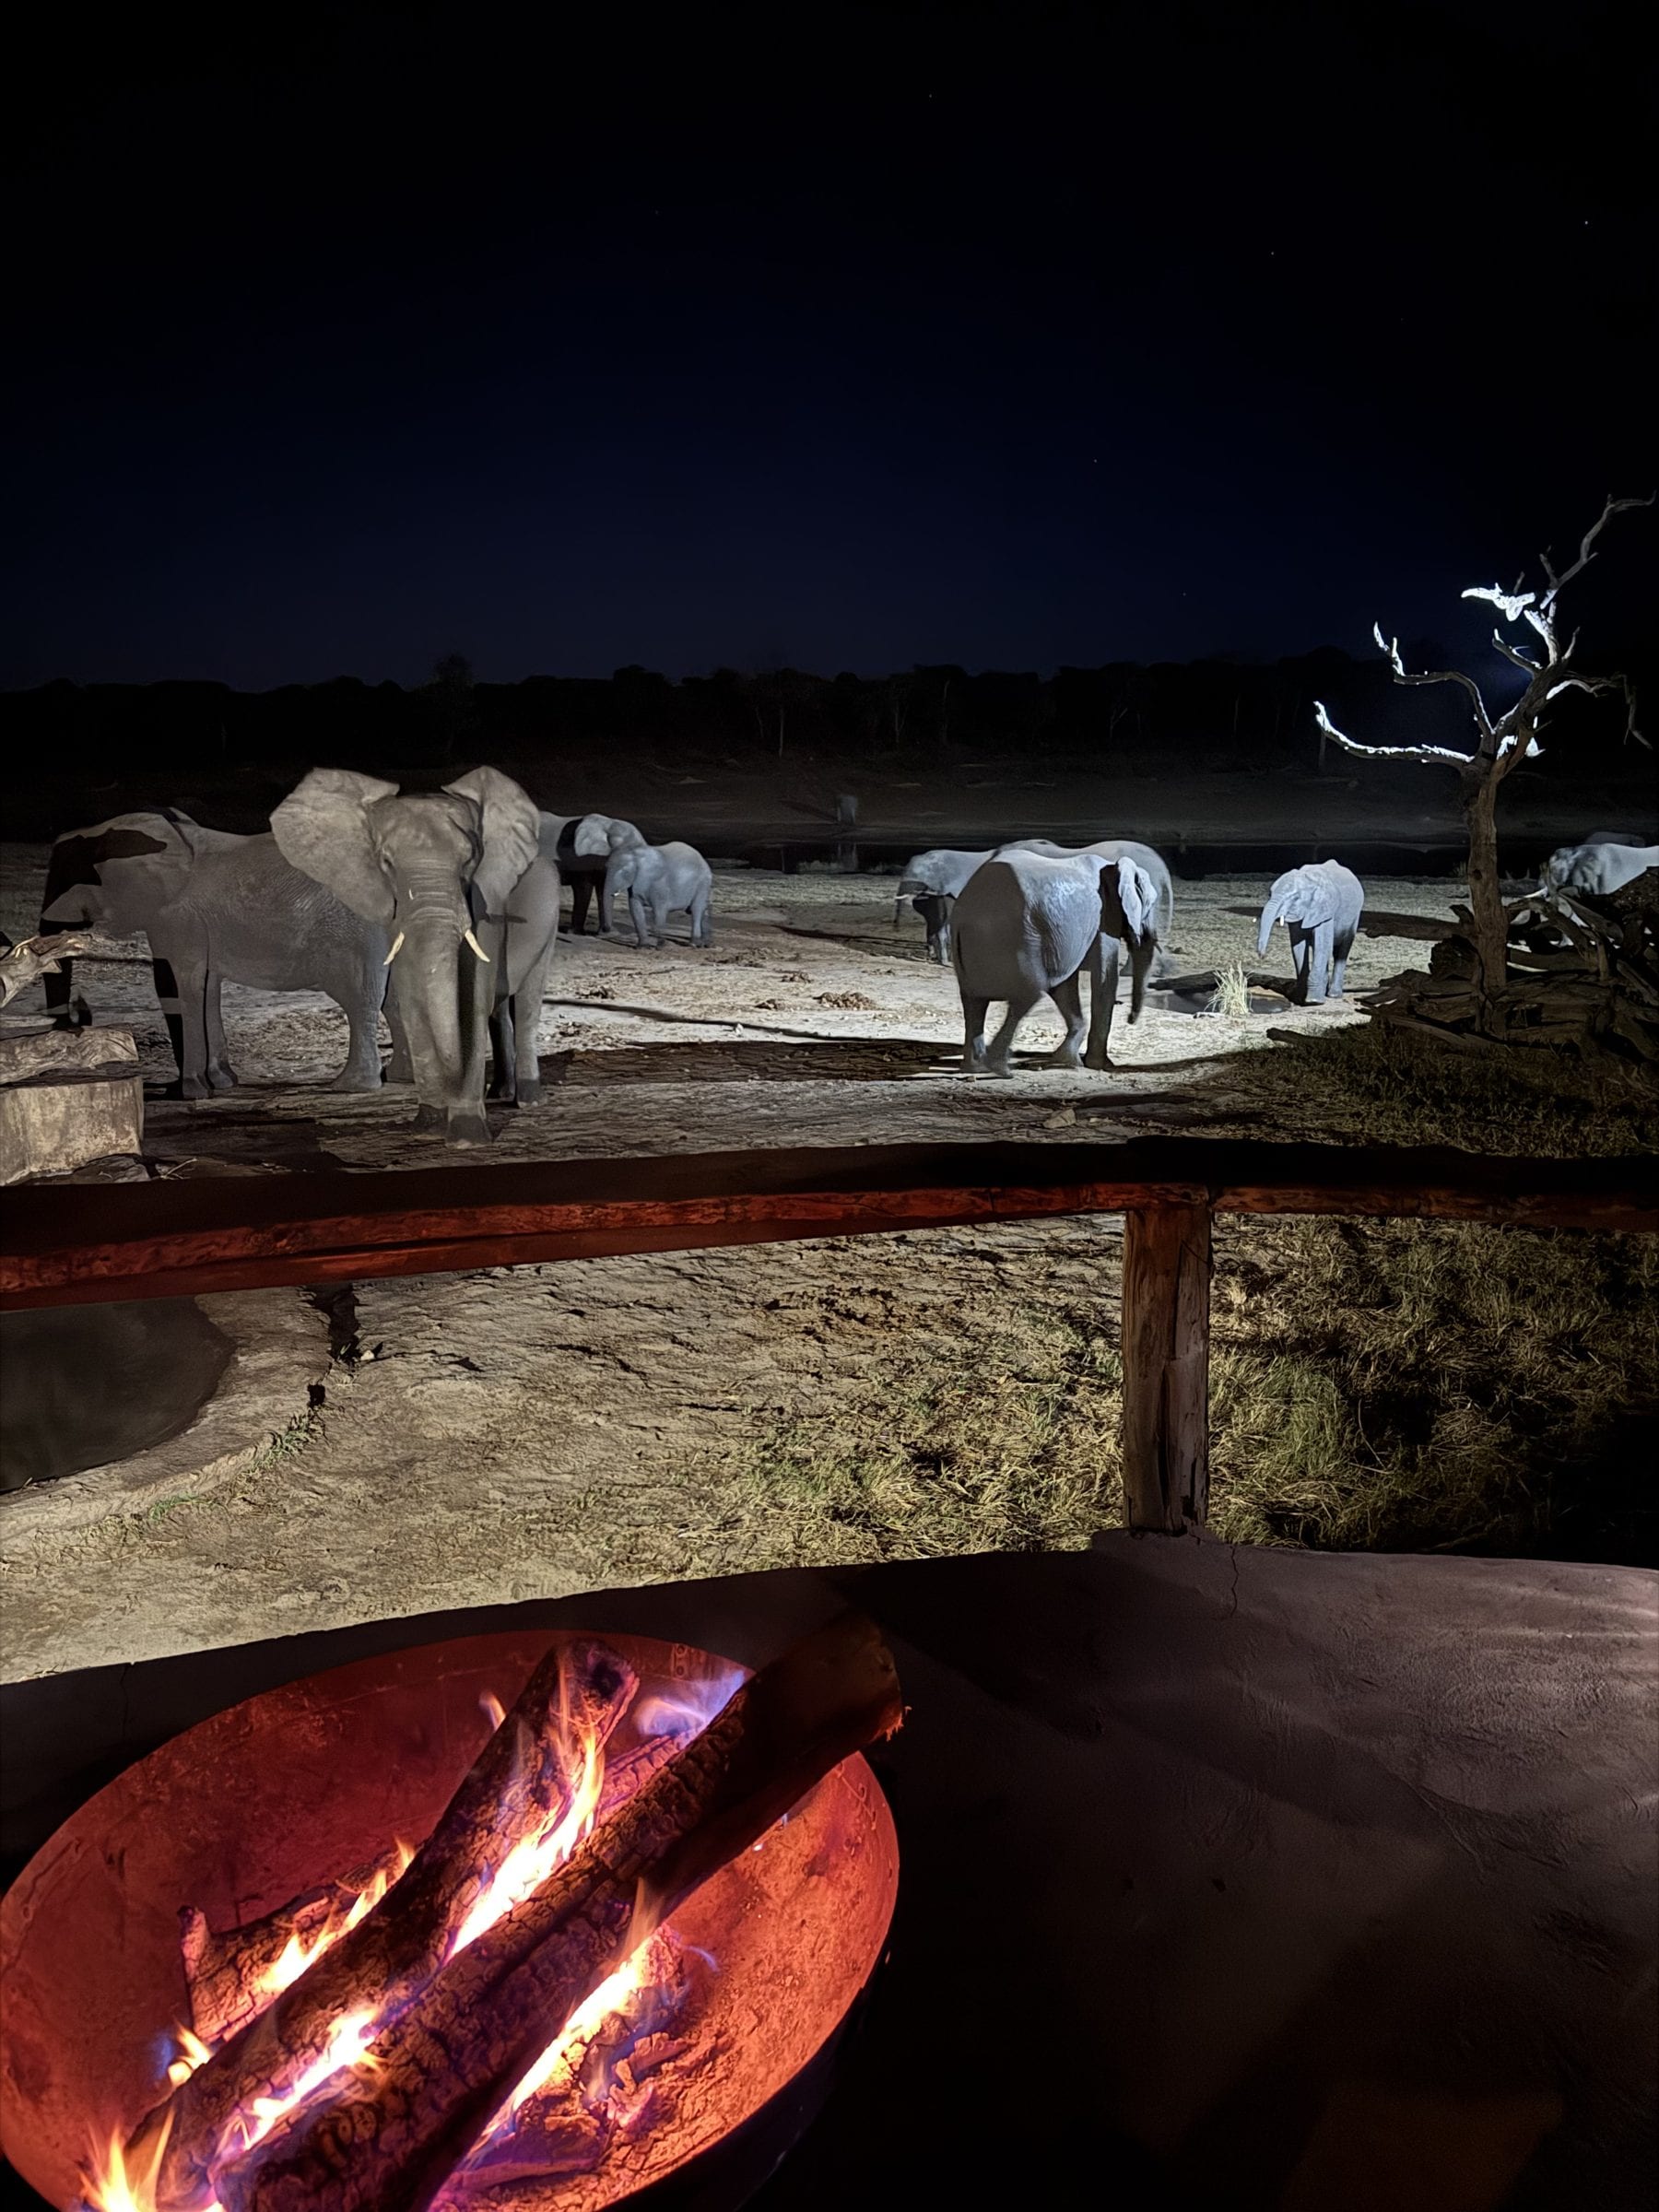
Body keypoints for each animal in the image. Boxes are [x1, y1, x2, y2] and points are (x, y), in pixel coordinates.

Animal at [39, 807, 410, 1096]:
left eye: (68, 880)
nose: (77, 1014)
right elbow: (207, 986)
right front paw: (222, 1082)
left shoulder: (175, 916)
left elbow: (179, 984)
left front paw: (190, 1092)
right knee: (393, 1000)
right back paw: (397, 1077)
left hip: (355, 933)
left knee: (359, 999)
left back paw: (351, 1086)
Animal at [272, 766, 561, 1145]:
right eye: (386, 862)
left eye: (470, 859)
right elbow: (412, 999)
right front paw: (428, 1128)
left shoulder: (484, 905)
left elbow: (471, 1000)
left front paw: (466, 1138)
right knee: (500, 1012)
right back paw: (500, 1094)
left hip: (550, 918)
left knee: (527, 1004)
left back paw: (528, 1101)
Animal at [550, 813, 647, 935]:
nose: (608, 930)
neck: (609, 823)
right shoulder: (580, 858)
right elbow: (583, 887)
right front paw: (576, 932)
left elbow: (602, 888)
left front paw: (606, 934)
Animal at [950, 849, 1161, 1075]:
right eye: (1150, 905)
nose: (1130, 1019)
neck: (1113, 866)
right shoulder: (1105, 918)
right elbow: (1104, 979)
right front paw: (1101, 1066)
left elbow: (1065, 986)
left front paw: (1069, 1060)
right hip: (1020, 938)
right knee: (1029, 994)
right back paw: (1000, 1069)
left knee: (973, 1001)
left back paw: (976, 1068)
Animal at [1256, 860, 1365, 1003]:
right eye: (1270, 894)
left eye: (1295, 897)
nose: (1262, 955)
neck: (1309, 879)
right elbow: (1298, 946)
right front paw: (1298, 998)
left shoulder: (1325, 910)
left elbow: (1322, 945)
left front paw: (1314, 1001)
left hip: (1354, 917)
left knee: (1341, 950)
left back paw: (1334, 995)